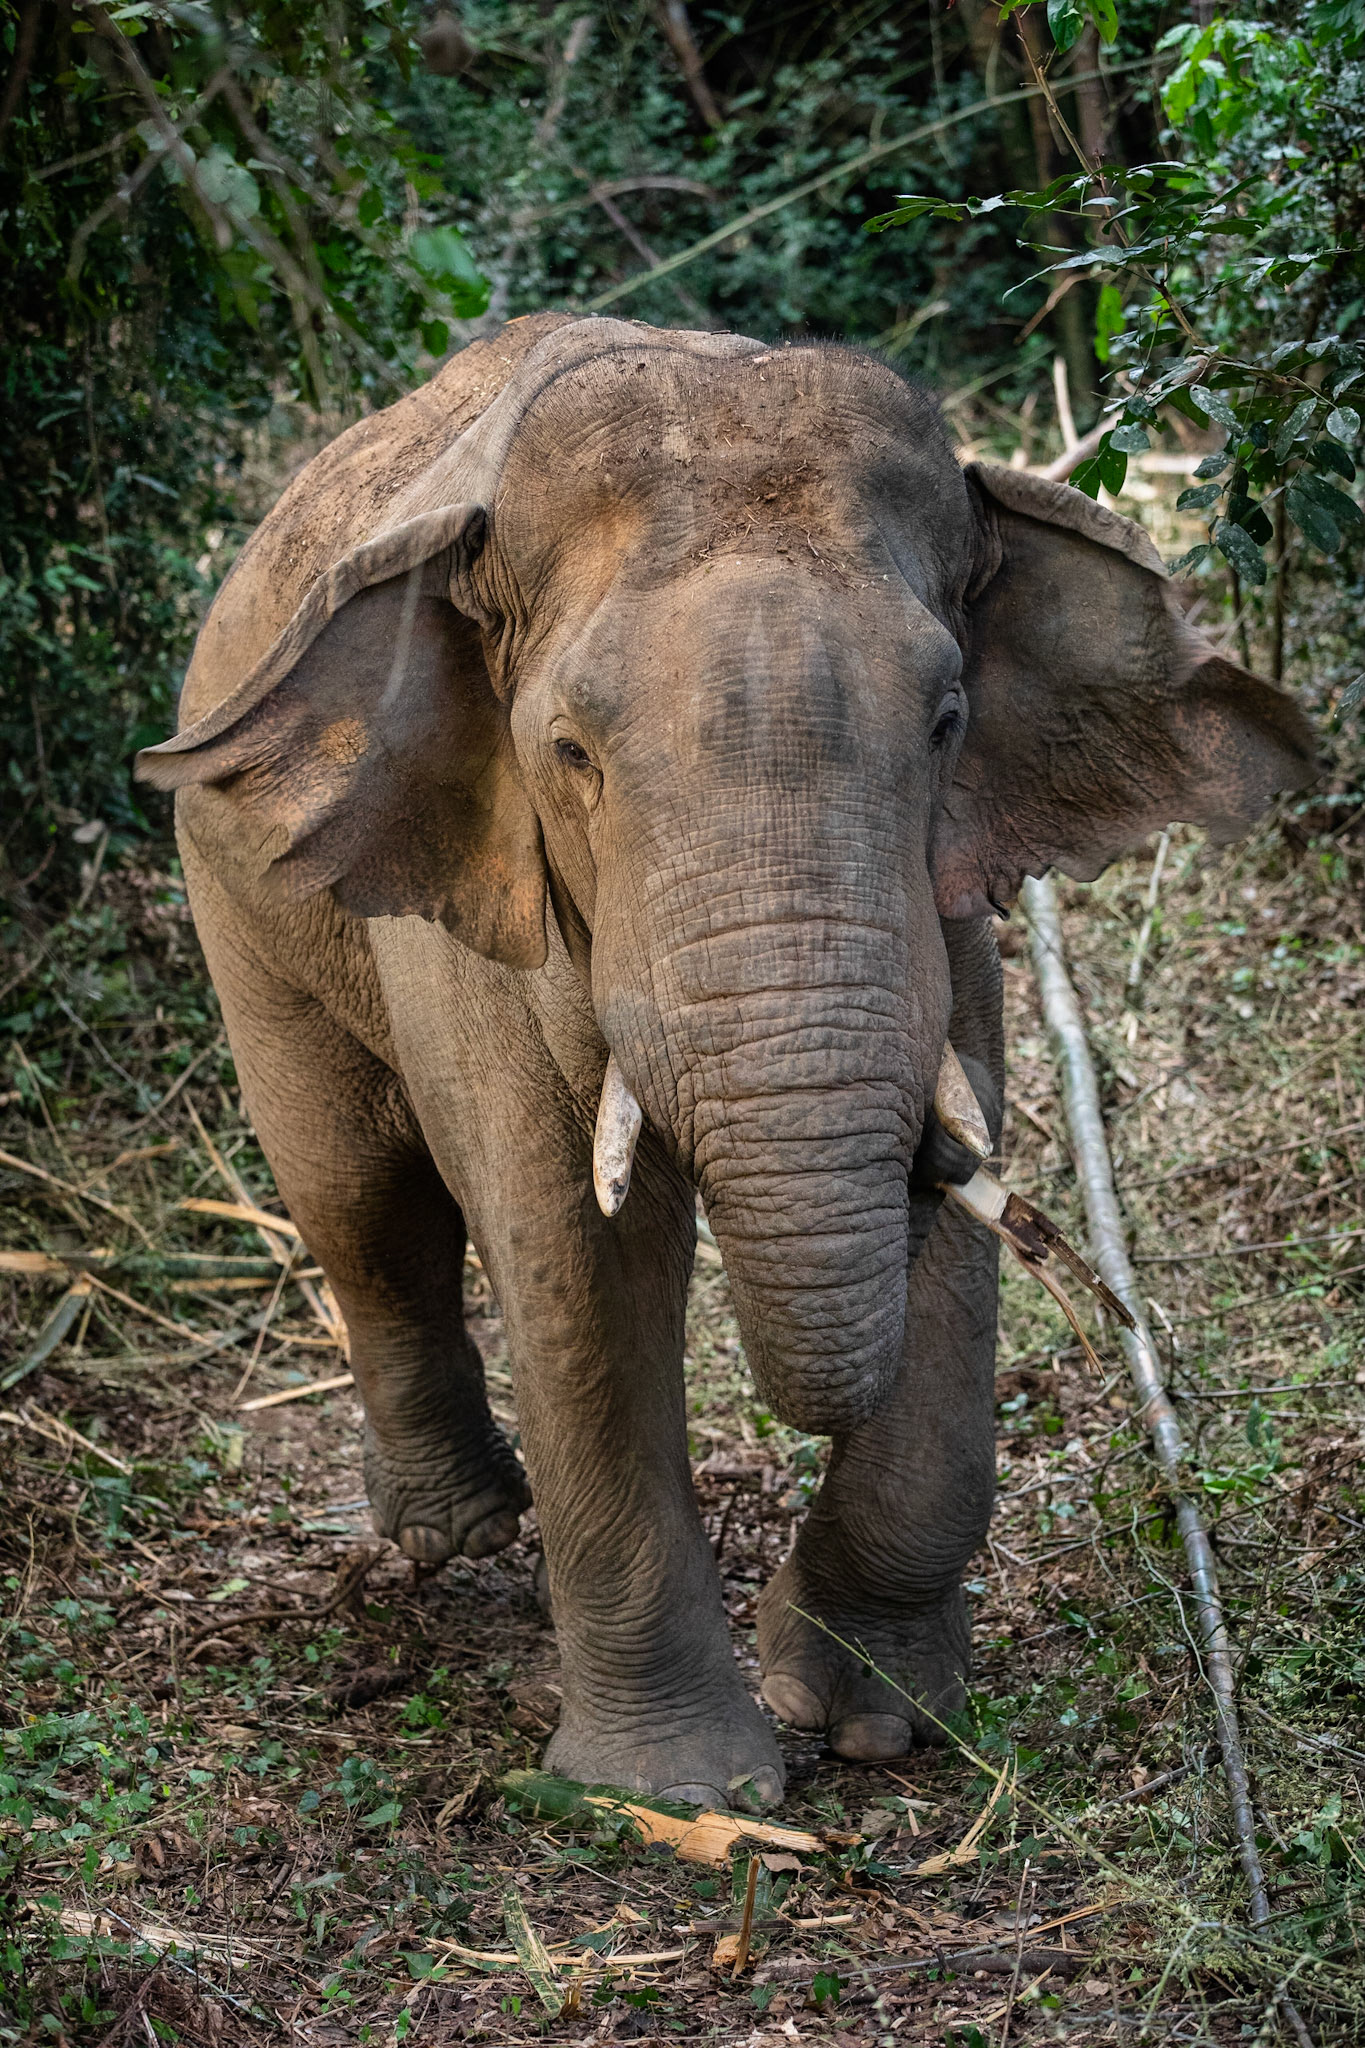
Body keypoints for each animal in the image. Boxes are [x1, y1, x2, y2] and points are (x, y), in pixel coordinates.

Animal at [137, 312, 1313, 1809]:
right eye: (569, 752)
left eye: (946, 720)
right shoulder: (485, 916)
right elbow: (571, 1258)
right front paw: (681, 1796)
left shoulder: (951, 918)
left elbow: (953, 1197)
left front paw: (868, 1724)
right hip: (240, 889)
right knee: (358, 1195)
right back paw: (458, 1538)